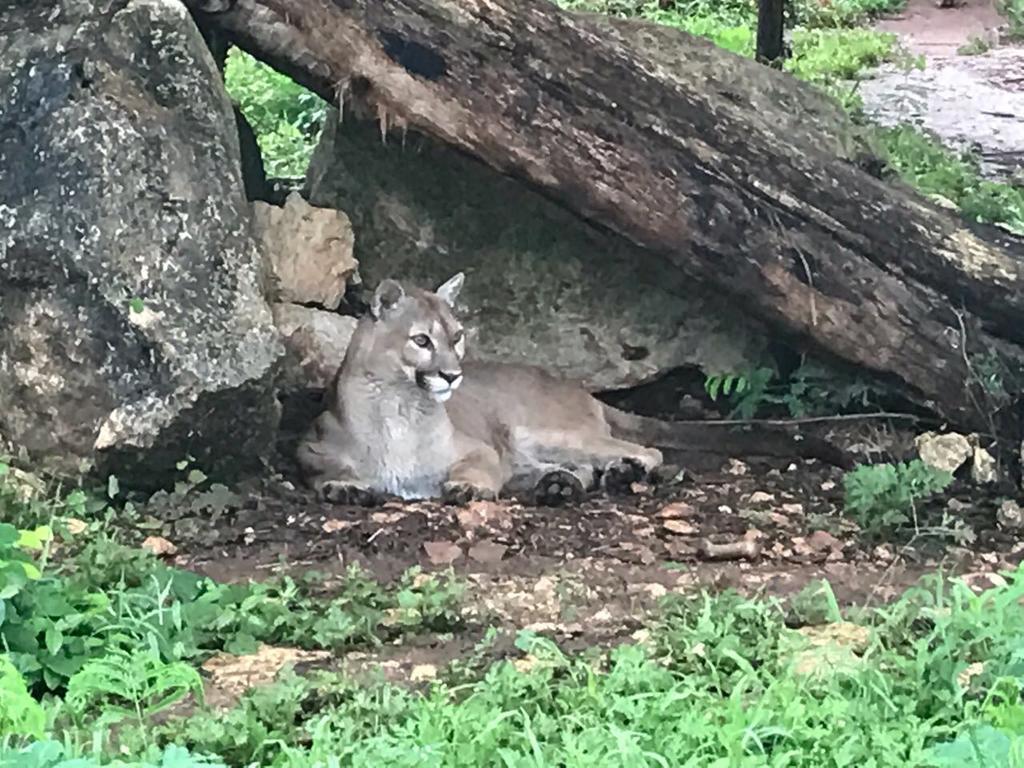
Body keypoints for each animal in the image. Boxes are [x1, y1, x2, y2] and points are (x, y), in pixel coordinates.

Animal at [296, 274, 847, 507]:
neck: (400, 407)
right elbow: (328, 470)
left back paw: (618, 474)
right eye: (421, 340)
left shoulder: (480, 448)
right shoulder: (308, 446)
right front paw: (346, 486)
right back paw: (562, 485)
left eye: (457, 336)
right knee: (569, 468)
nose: (452, 375)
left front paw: (468, 487)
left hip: (536, 431)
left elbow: (475, 468)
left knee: (645, 450)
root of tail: (577, 387)